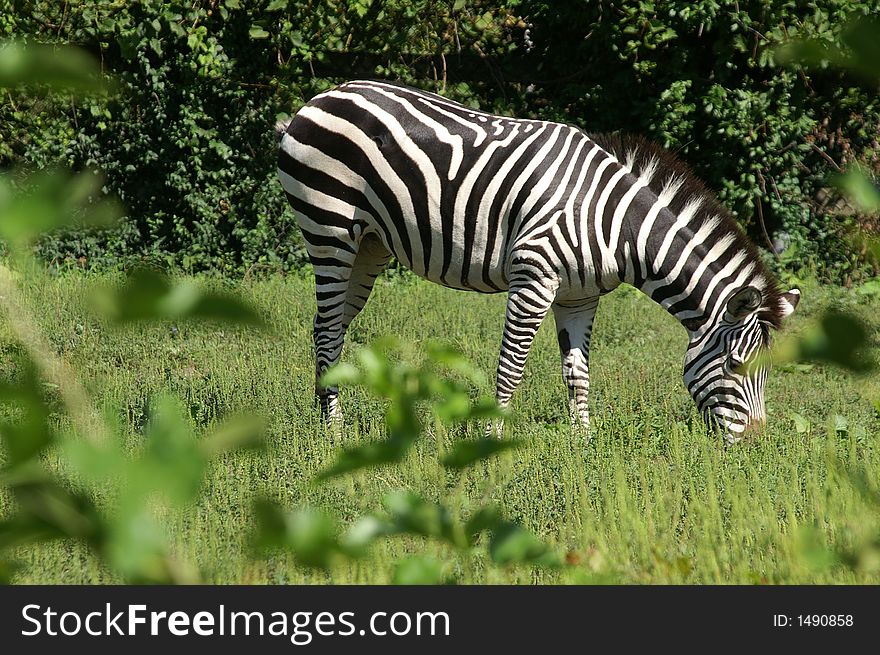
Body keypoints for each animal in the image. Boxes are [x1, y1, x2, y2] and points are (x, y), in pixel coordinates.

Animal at [278, 79, 800, 444]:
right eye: (736, 366)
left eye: (769, 372)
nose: (756, 448)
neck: (614, 226)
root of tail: (319, 98)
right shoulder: (533, 278)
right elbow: (511, 367)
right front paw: (492, 442)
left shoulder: (579, 296)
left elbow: (577, 373)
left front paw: (583, 443)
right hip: (330, 231)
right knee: (327, 329)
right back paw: (333, 433)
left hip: (369, 246)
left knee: (329, 326)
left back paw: (328, 417)